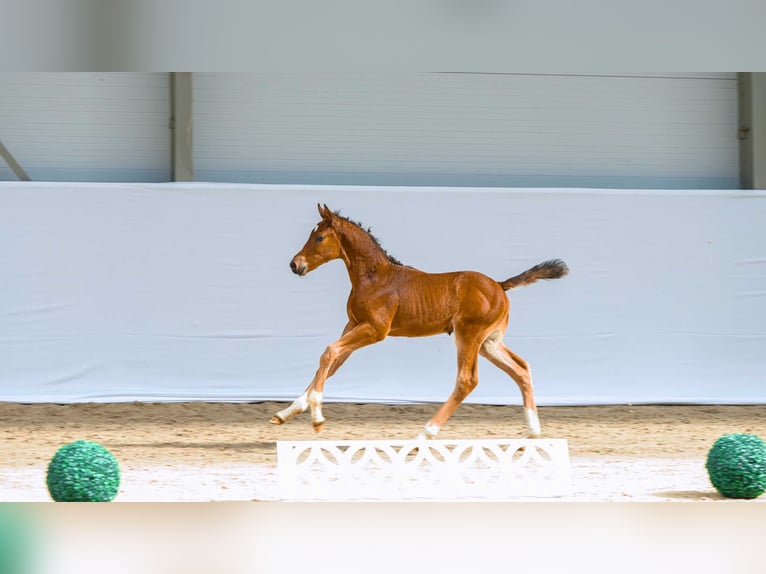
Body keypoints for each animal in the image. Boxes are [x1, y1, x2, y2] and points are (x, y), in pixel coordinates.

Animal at [270, 204, 568, 439]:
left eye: (319, 237)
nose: (295, 265)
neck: (374, 278)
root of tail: (499, 285)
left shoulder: (376, 330)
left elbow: (329, 352)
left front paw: (317, 418)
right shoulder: (353, 325)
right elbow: (332, 362)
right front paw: (286, 412)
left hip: (469, 336)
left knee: (467, 380)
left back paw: (426, 433)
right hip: (489, 343)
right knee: (521, 369)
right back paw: (534, 431)